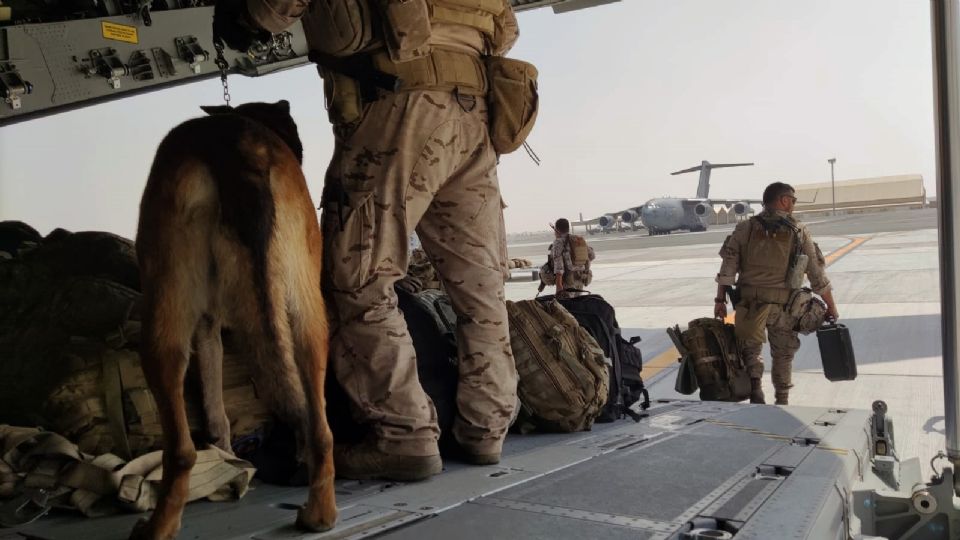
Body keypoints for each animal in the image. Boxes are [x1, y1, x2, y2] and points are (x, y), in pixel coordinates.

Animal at [131, 101, 334, 540]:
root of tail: (238, 146)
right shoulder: (211, 326)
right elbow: (217, 409)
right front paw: (229, 462)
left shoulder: (202, 322)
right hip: (308, 310)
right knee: (320, 428)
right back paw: (320, 514)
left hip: (163, 309)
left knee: (181, 450)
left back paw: (158, 527)